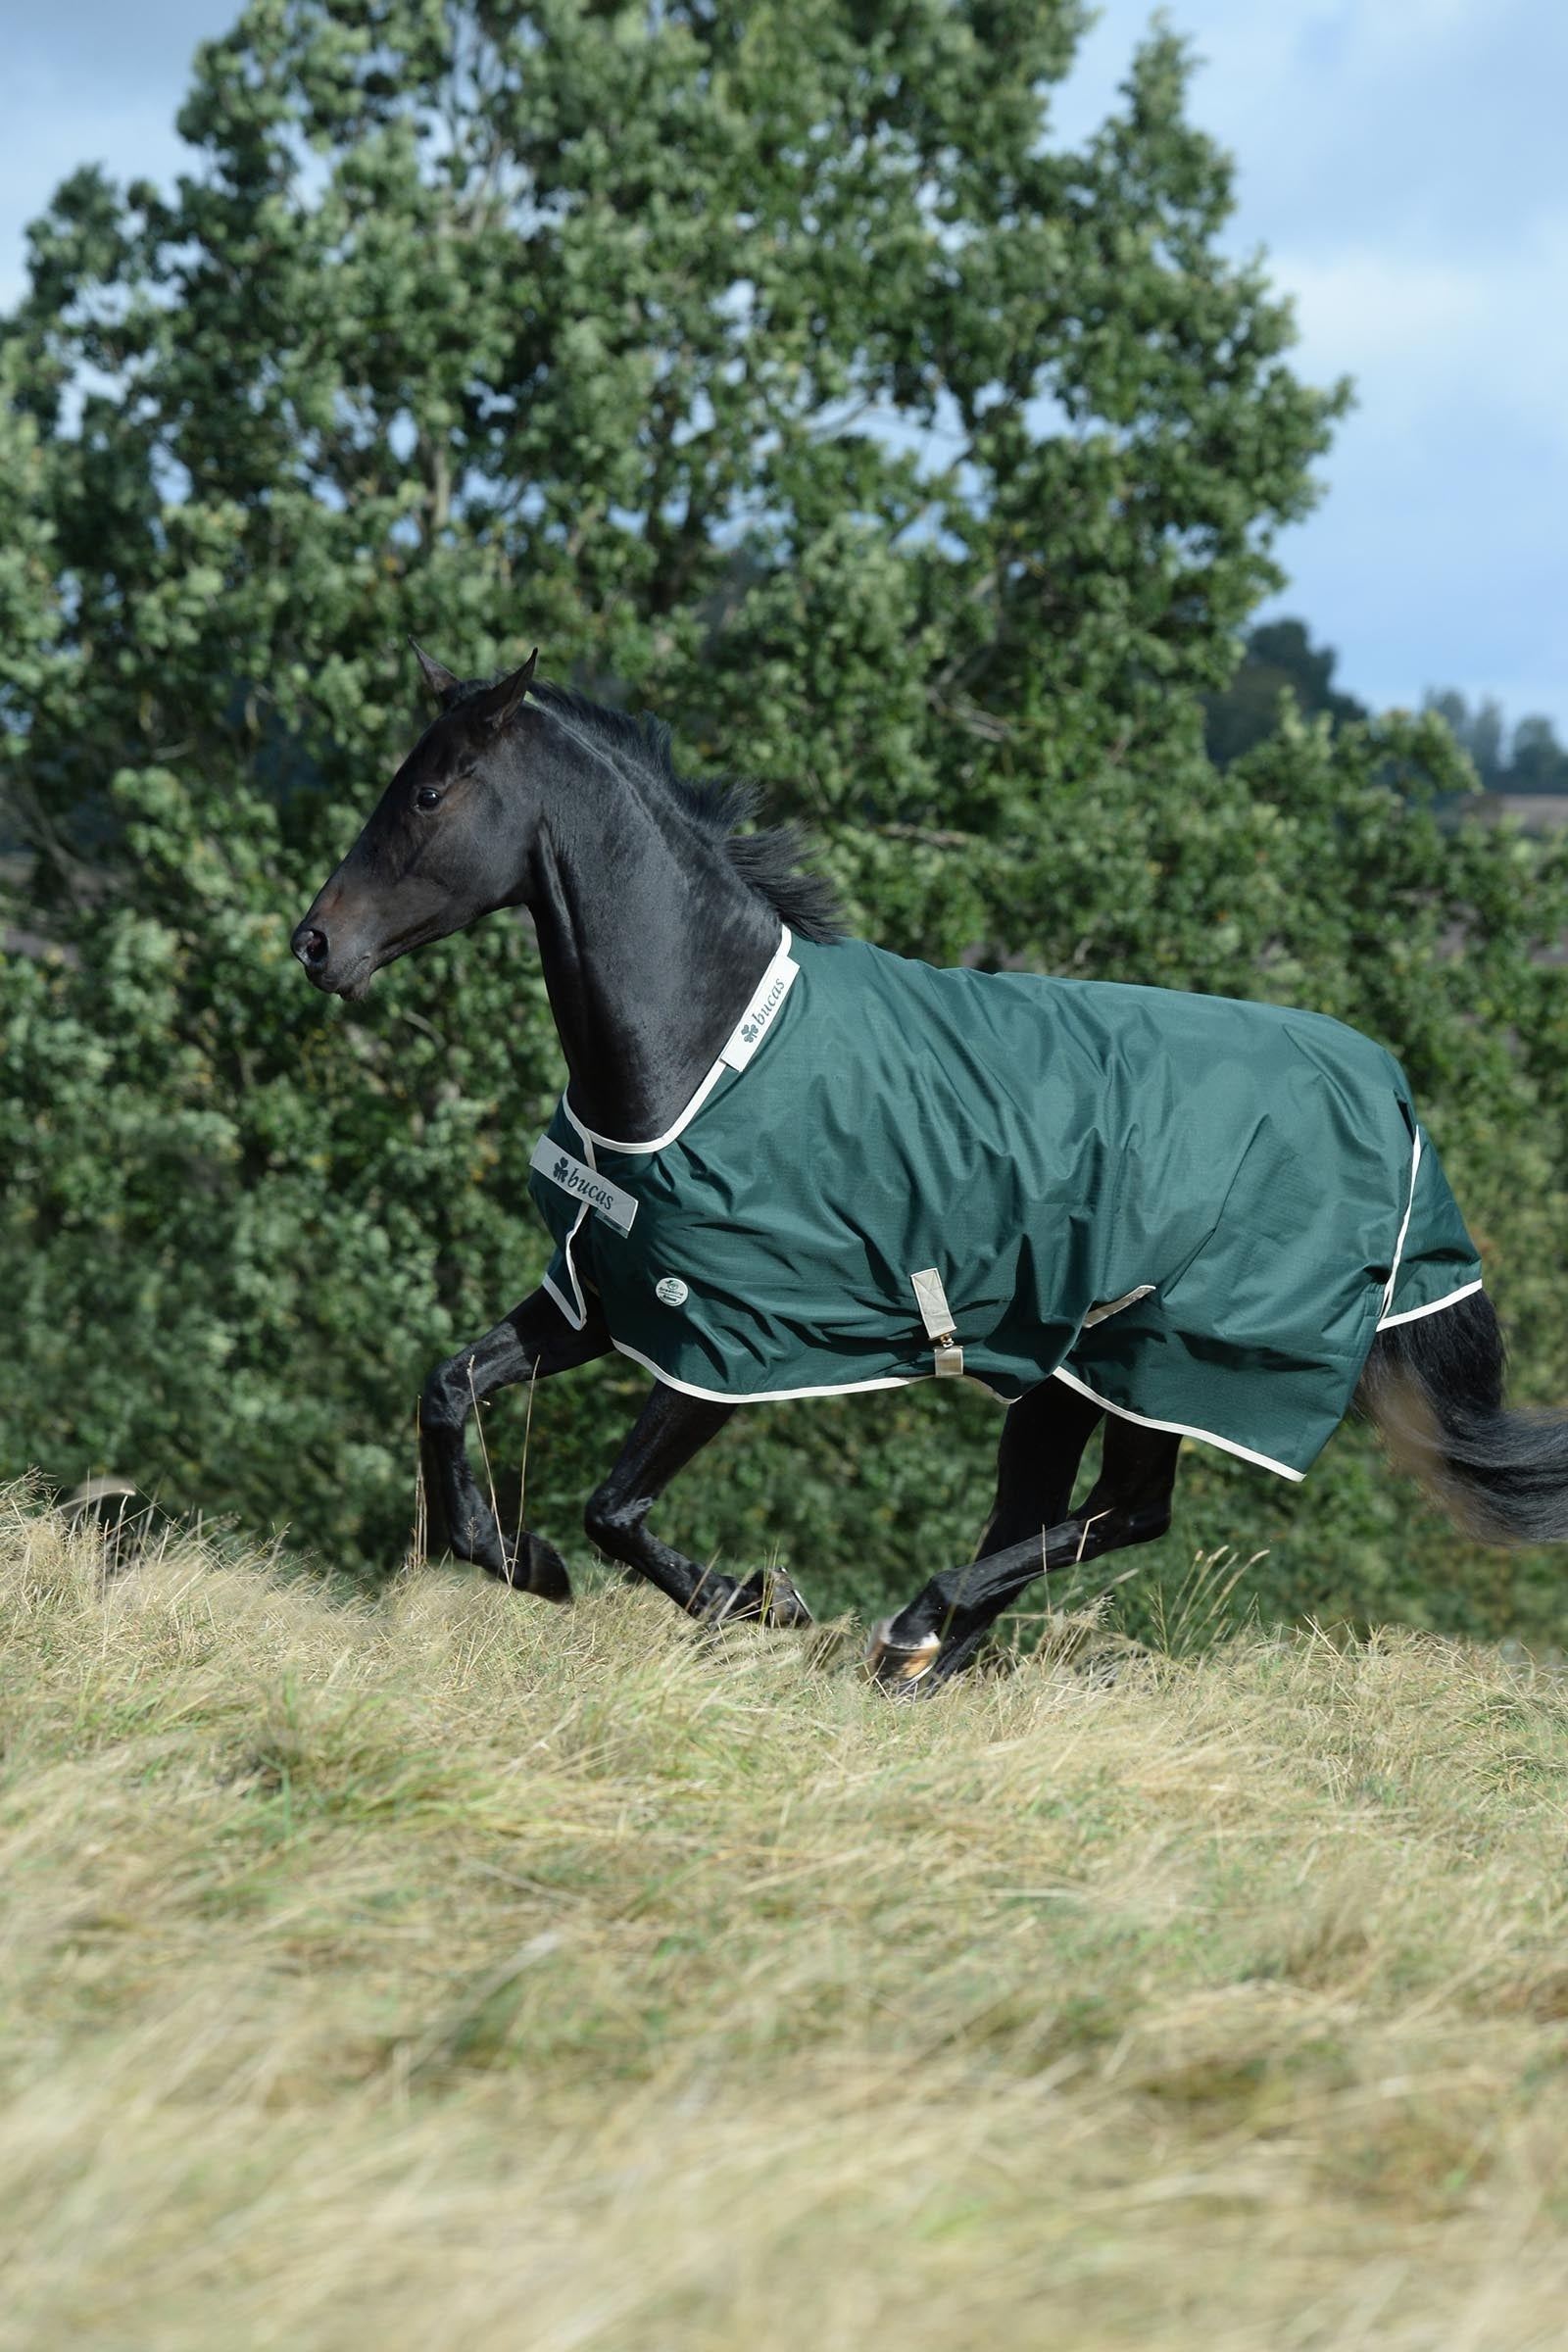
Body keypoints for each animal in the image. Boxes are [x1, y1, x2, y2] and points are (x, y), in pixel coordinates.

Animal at [291, 644, 1568, 1691]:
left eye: (429, 792)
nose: (314, 943)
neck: (706, 1048)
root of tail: (1393, 1101)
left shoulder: (731, 1340)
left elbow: (615, 1507)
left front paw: (752, 1600)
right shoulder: (600, 1297)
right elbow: (449, 1392)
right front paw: (519, 1559)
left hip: (1172, 1360)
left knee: (1127, 1514)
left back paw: (911, 1626)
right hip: (1068, 1375)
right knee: (1064, 1510)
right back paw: (926, 1656)